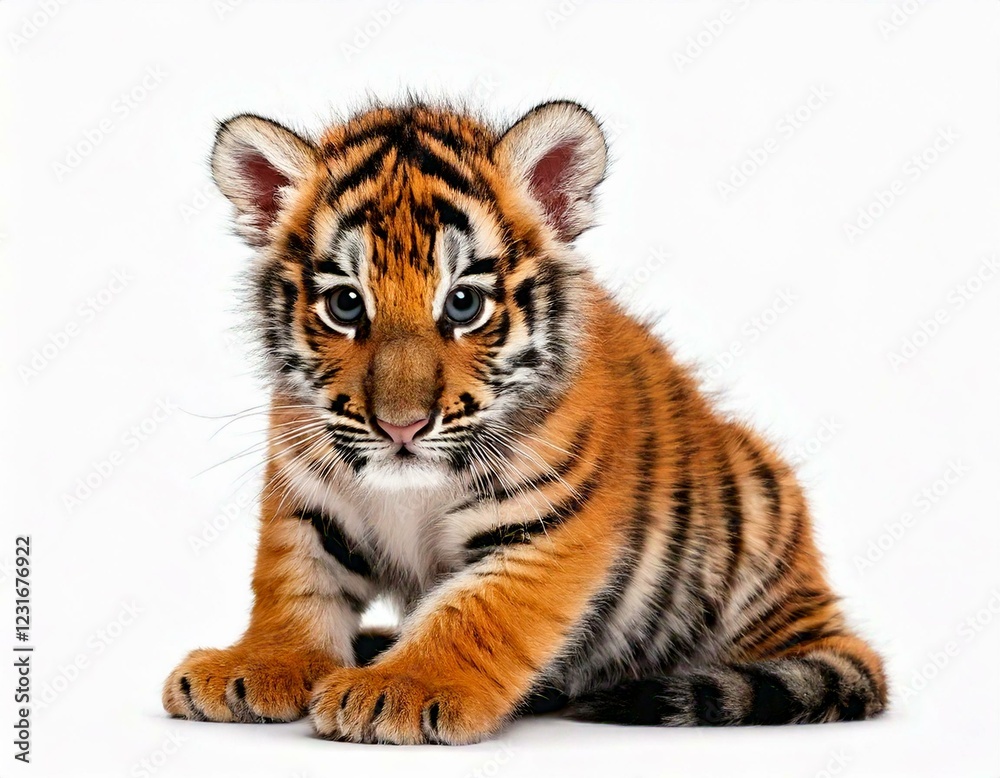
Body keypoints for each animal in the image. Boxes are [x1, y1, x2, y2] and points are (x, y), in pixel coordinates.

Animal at [162, 99, 887, 744]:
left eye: (463, 304)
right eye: (345, 305)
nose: (401, 428)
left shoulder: (549, 527)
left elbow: (476, 612)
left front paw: (399, 689)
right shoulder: (307, 495)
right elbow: (293, 584)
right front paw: (256, 666)